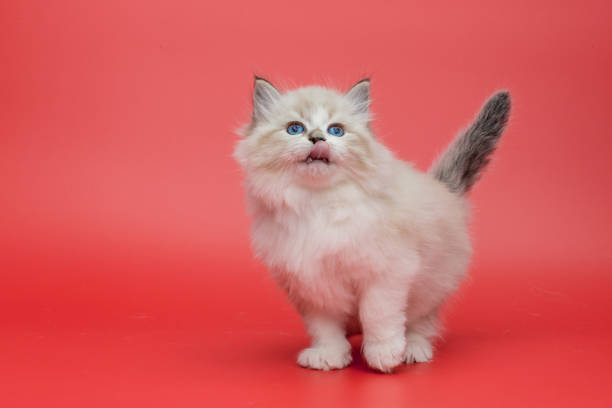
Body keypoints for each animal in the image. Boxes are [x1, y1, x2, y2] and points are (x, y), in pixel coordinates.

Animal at [232, 76, 510, 372]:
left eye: (336, 130)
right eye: (295, 129)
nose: (317, 137)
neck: (318, 204)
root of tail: (444, 190)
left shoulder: (386, 273)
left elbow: (378, 315)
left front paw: (384, 354)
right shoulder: (311, 286)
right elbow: (324, 328)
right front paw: (329, 355)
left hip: (431, 286)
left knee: (421, 324)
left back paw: (413, 350)